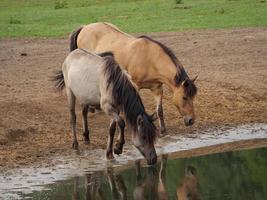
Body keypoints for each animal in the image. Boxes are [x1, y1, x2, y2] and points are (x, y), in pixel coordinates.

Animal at [70, 22, 198, 134]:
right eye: (184, 97)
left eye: (193, 97)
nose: (191, 120)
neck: (150, 59)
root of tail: (85, 27)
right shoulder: (135, 86)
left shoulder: (157, 89)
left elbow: (160, 110)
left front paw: (162, 129)